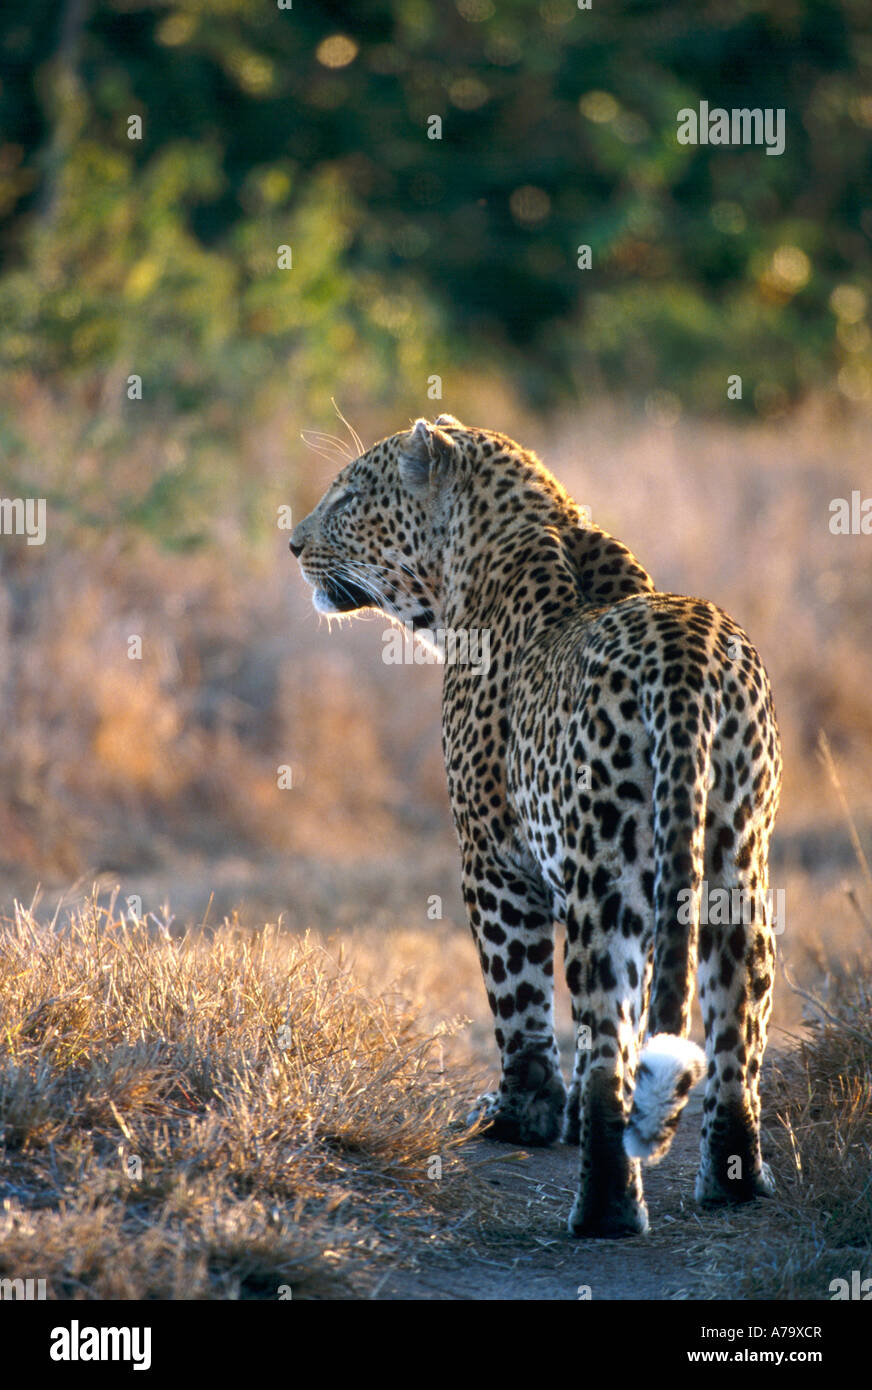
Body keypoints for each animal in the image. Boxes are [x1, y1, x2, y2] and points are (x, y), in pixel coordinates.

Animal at [290, 414, 778, 1239]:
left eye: (349, 496)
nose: (293, 544)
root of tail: (684, 663)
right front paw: (565, 1114)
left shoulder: (494, 859)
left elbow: (516, 997)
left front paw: (522, 1114)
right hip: (735, 863)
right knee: (733, 1035)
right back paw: (733, 1182)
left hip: (602, 884)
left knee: (609, 1036)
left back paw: (605, 1210)